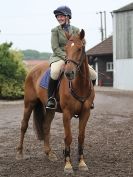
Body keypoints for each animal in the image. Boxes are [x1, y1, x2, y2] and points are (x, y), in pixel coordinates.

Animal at [16, 29, 94, 174]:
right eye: (66, 49)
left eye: (80, 48)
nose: (69, 73)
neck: (79, 85)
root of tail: (33, 70)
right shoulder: (67, 113)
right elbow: (68, 137)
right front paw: (68, 165)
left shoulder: (86, 113)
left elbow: (81, 137)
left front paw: (82, 163)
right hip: (29, 104)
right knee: (24, 126)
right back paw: (19, 153)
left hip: (49, 109)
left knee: (46, 126)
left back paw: (49, 153)